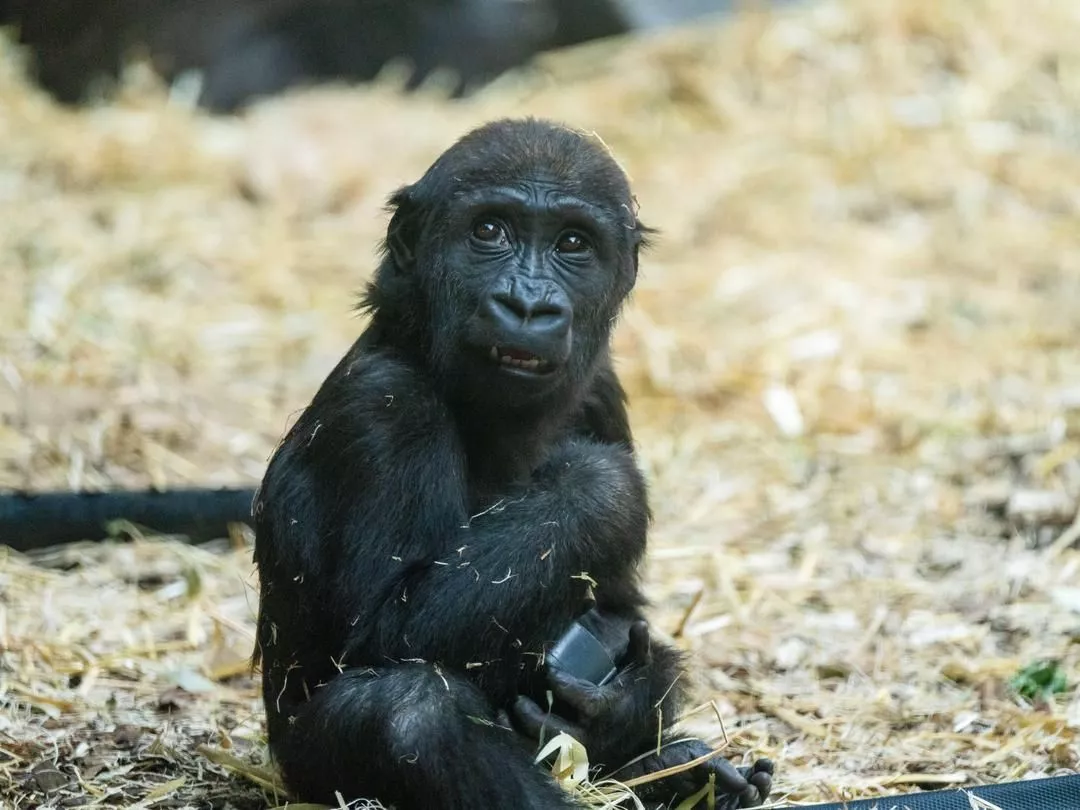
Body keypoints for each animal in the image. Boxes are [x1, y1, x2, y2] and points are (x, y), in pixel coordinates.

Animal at [250, 117, 777, 807]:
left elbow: (622, 609)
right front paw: (602, 490)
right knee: (408, 710)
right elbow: (384, 631)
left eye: (573, 243)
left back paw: (678, 773)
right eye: (490, 231)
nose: (529, 305)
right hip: (305, 777)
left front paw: (624, 703)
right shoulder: (385, 405)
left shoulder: (601, 392)